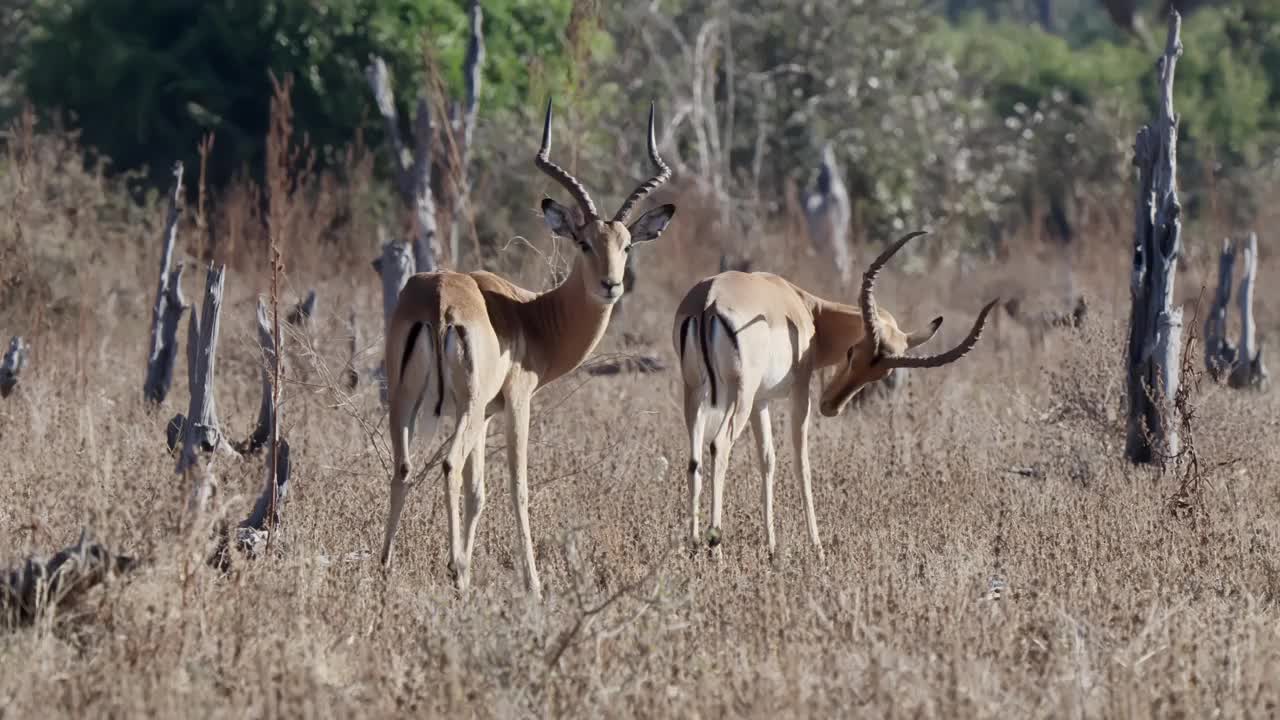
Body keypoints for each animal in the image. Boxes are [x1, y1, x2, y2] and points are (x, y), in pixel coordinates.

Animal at [381, 101, 675, 594]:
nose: (610, 285)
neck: (529, 315)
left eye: (627, 245)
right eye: (583, 242)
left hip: (408, 402)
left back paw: (386, 569)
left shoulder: (486, 413)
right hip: (464, 405)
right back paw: (456, 574)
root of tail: (438, 300)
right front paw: (532, 582)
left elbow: (478, 491)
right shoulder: (516, 401)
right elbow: (517, 487)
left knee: (403, 469)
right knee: (448, 464)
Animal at [675, 228, 993, 548]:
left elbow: (767, 459)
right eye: (852, 352)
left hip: (695, 390)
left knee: (694, 459)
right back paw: (714, 546)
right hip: (738, 394)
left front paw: (772, 546)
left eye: (880, 372)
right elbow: (801, 463)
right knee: (719, 446)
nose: (830, 406)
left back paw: (693, 543)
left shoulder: (760, 400)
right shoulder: (799, 390)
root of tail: (709, 301)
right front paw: (816, 546)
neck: (805, 309)